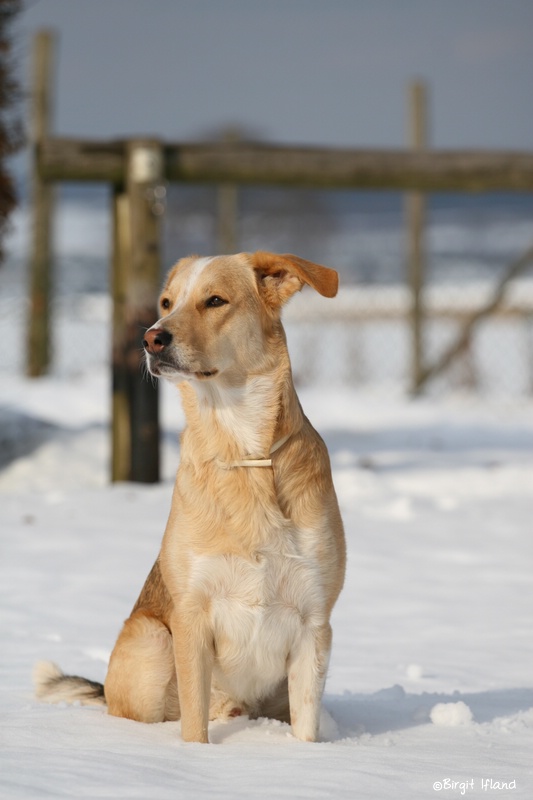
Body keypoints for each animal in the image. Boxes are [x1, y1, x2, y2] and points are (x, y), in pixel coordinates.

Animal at [35, 252, 348, 744]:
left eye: (214, 300)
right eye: (166, 302)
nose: (151, 337)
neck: (243, 453)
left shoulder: (314, 625)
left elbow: (306, 730)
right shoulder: (192, 618)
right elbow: (193, 726)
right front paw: (193, 758)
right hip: (151, 644)